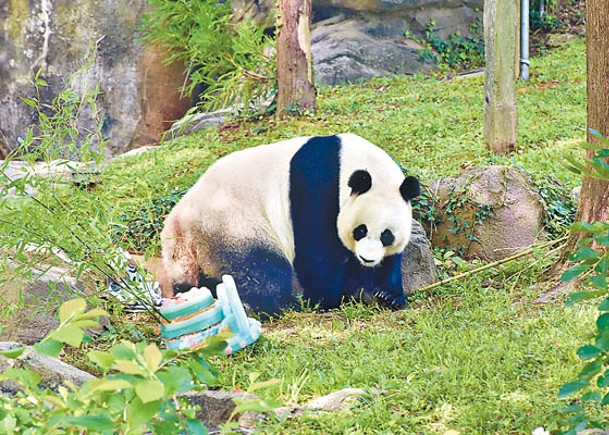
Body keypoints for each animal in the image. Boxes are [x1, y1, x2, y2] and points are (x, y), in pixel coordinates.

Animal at [159, 133, 420, 316]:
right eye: (361, 230)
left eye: (386, 235)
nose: (367, 258)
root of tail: (178, 223)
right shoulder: (318, 187)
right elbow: (318, 254)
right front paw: (332, 298)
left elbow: (390, 261)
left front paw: (386, 295)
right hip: (231, 224)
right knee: (263, 271)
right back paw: (277, 304)